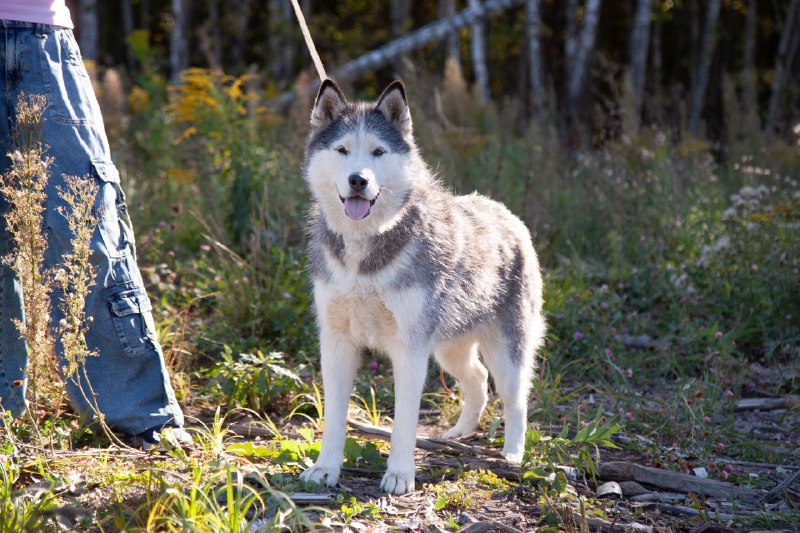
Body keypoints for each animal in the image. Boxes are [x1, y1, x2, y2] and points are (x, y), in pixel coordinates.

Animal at [296, 79, 548, 494]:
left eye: (378, 152)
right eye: (343, 150)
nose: (358, 180)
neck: (366, 247)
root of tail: (506, 214)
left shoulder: (409, 350)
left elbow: (404, 424)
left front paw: (400, 475)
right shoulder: (335, 343)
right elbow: (333, 417)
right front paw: (325, 468)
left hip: (507, 353)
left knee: (515, 400)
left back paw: (512, 454)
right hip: (449, 348)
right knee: (477, 379)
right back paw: (458, 434)